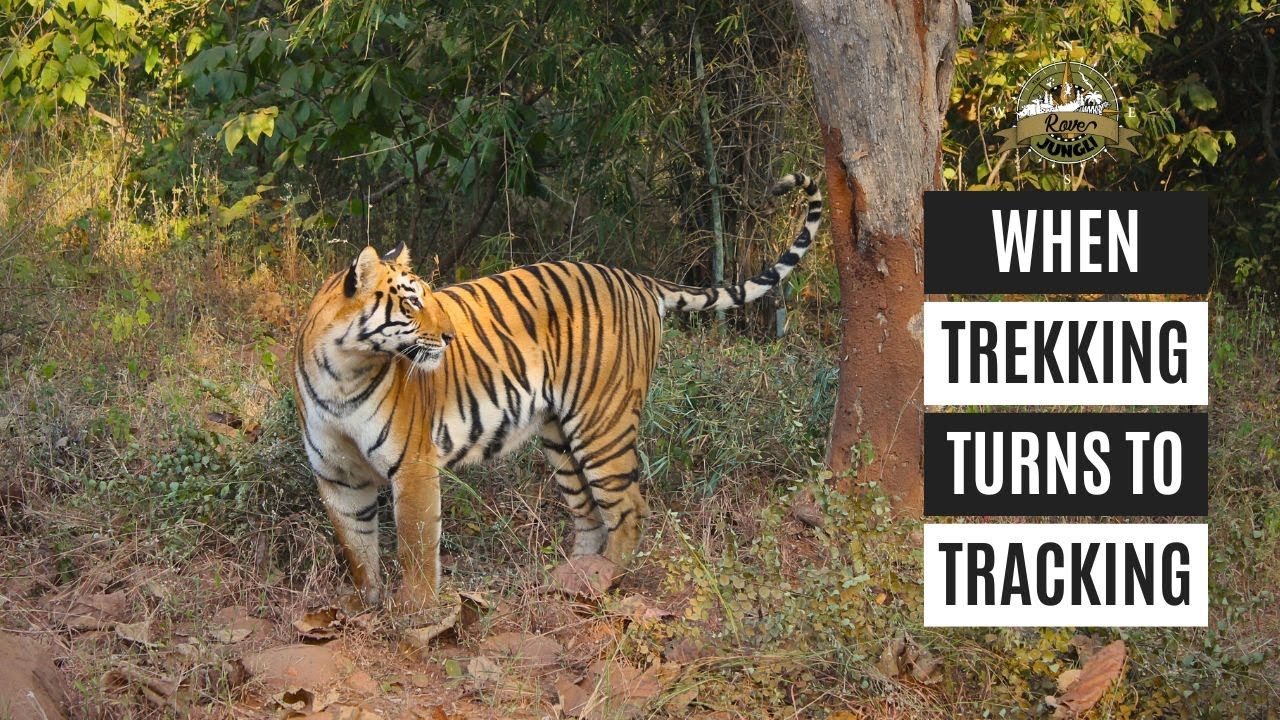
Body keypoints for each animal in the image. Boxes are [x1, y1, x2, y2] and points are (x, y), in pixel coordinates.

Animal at [293, 172, 822, 609]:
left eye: (429, 298)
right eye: (412, 303)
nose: (449, 337)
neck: (343, 373)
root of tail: (636, 278)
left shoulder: (414, 467)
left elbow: (416, 548)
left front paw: (416, 612)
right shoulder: (337, 476)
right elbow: (357, 548)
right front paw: (365, 606)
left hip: (601, 424)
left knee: (629, 508)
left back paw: (605, 578)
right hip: (558, 437)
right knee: (589, 514)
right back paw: (569, 577)